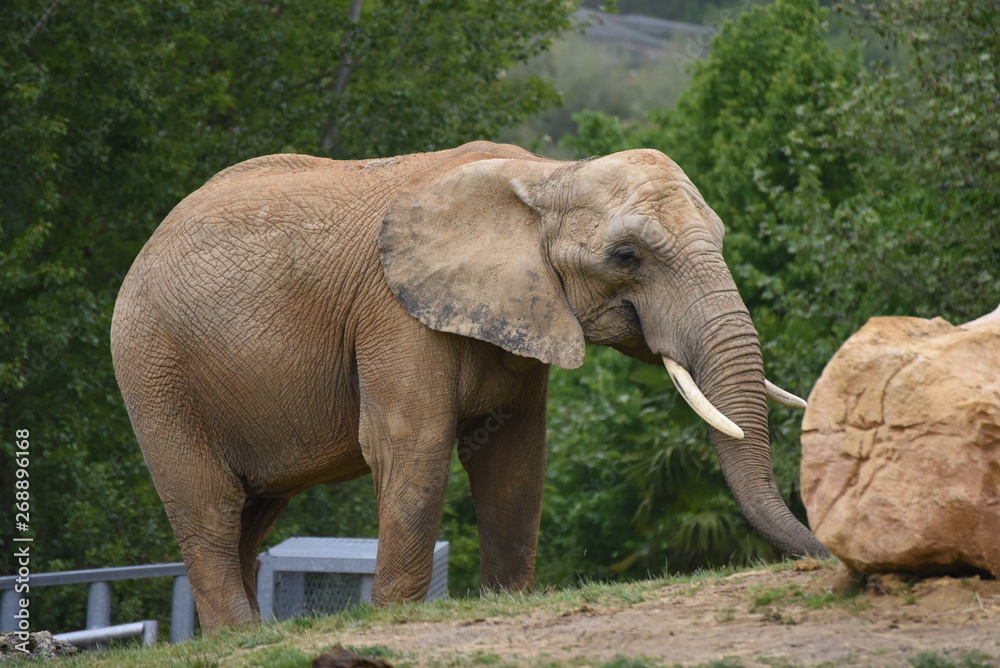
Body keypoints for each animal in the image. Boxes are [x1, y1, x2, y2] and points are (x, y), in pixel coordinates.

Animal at [110, 140, 827, 633]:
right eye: (628, 257)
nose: (821, 554)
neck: (545, 175)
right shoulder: (394, 313)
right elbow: (412, 450)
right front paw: (394, 619)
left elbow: (515, 463)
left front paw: (507, 600)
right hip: (154, 369)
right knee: (210, 510)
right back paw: (242, 637)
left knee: (251, 517)